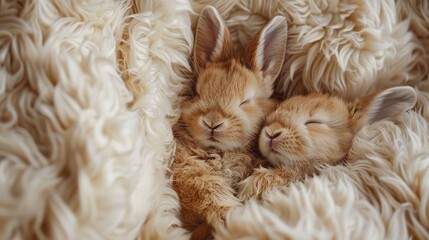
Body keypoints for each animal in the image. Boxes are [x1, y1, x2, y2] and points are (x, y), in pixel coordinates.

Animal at [171, 5, 288, 238]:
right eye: (197, 93)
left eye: (246, 101)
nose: (212, 123)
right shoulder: (188, 172)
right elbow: (208, 190)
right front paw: (230, 216)